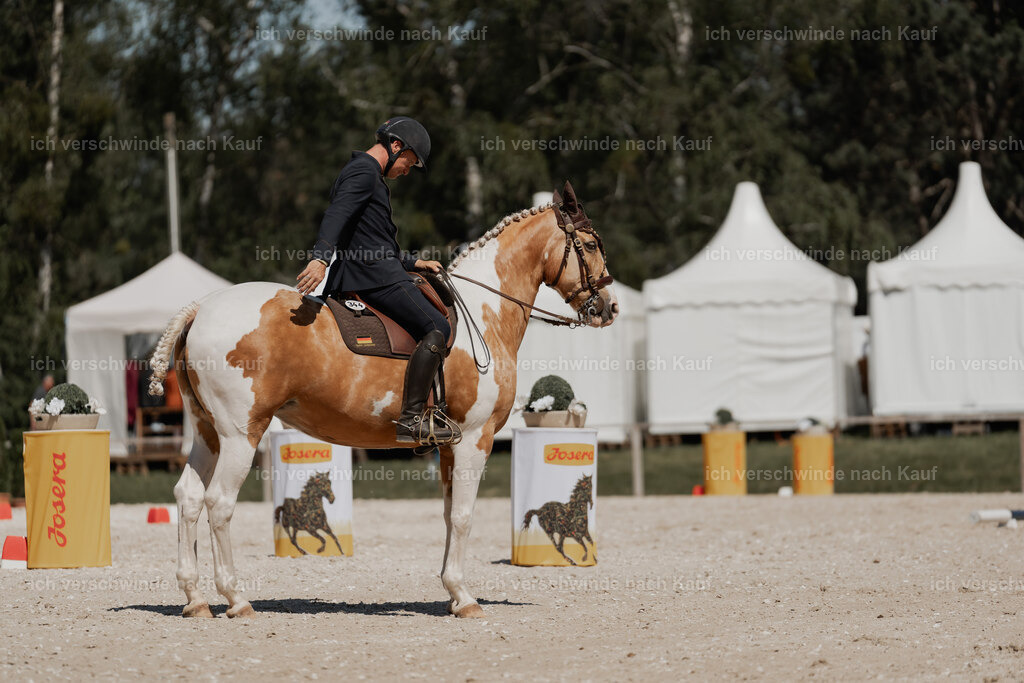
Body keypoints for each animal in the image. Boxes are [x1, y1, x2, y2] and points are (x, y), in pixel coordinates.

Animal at [148, 181, 617, 619]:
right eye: (591, 244)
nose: (608, 307)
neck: (484, 314)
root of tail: (201, 309)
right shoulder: (474, 438)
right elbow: (463, 517)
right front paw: (464, 598)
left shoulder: (449, 446)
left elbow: (449, 514)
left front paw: (451, 592)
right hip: (240, 434)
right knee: (218, 504)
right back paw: (236, 598)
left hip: (208, 433)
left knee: (188, 498)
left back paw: (195, 599)